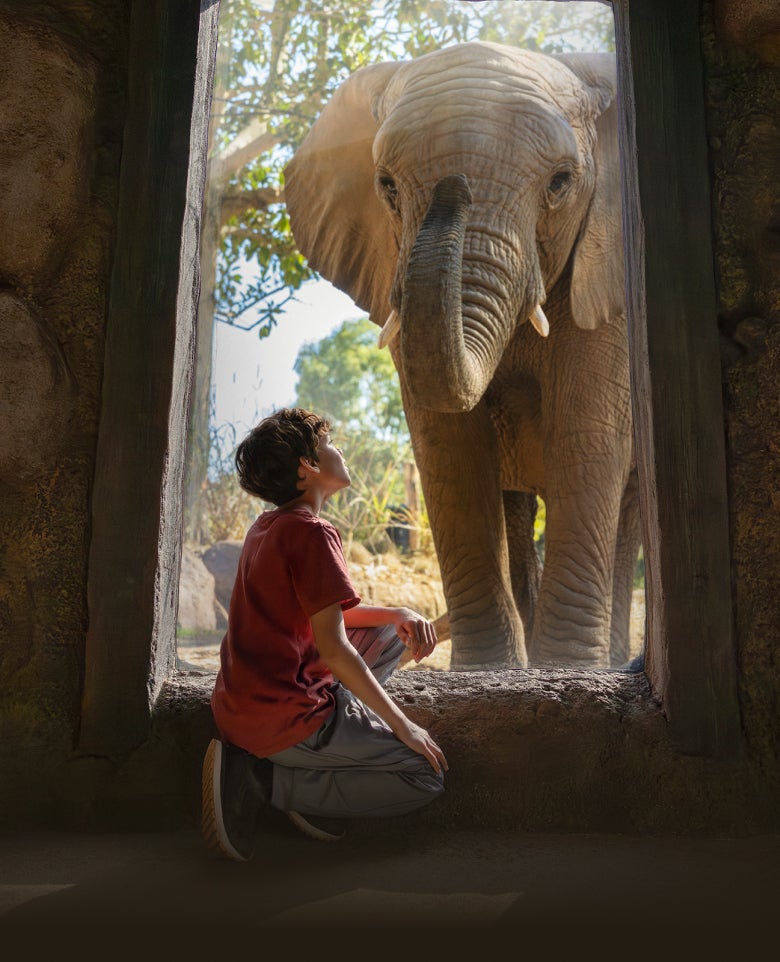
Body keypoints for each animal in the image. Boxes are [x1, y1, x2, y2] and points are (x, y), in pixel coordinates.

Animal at [284, 41, 640, 670]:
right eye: (388, 187)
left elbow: (586, 436)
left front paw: (568, 672)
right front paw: (488, 672)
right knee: (517, 507)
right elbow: (447, 447)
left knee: (627, 512)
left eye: (560, 183)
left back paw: (610, 661)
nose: (455, 188)